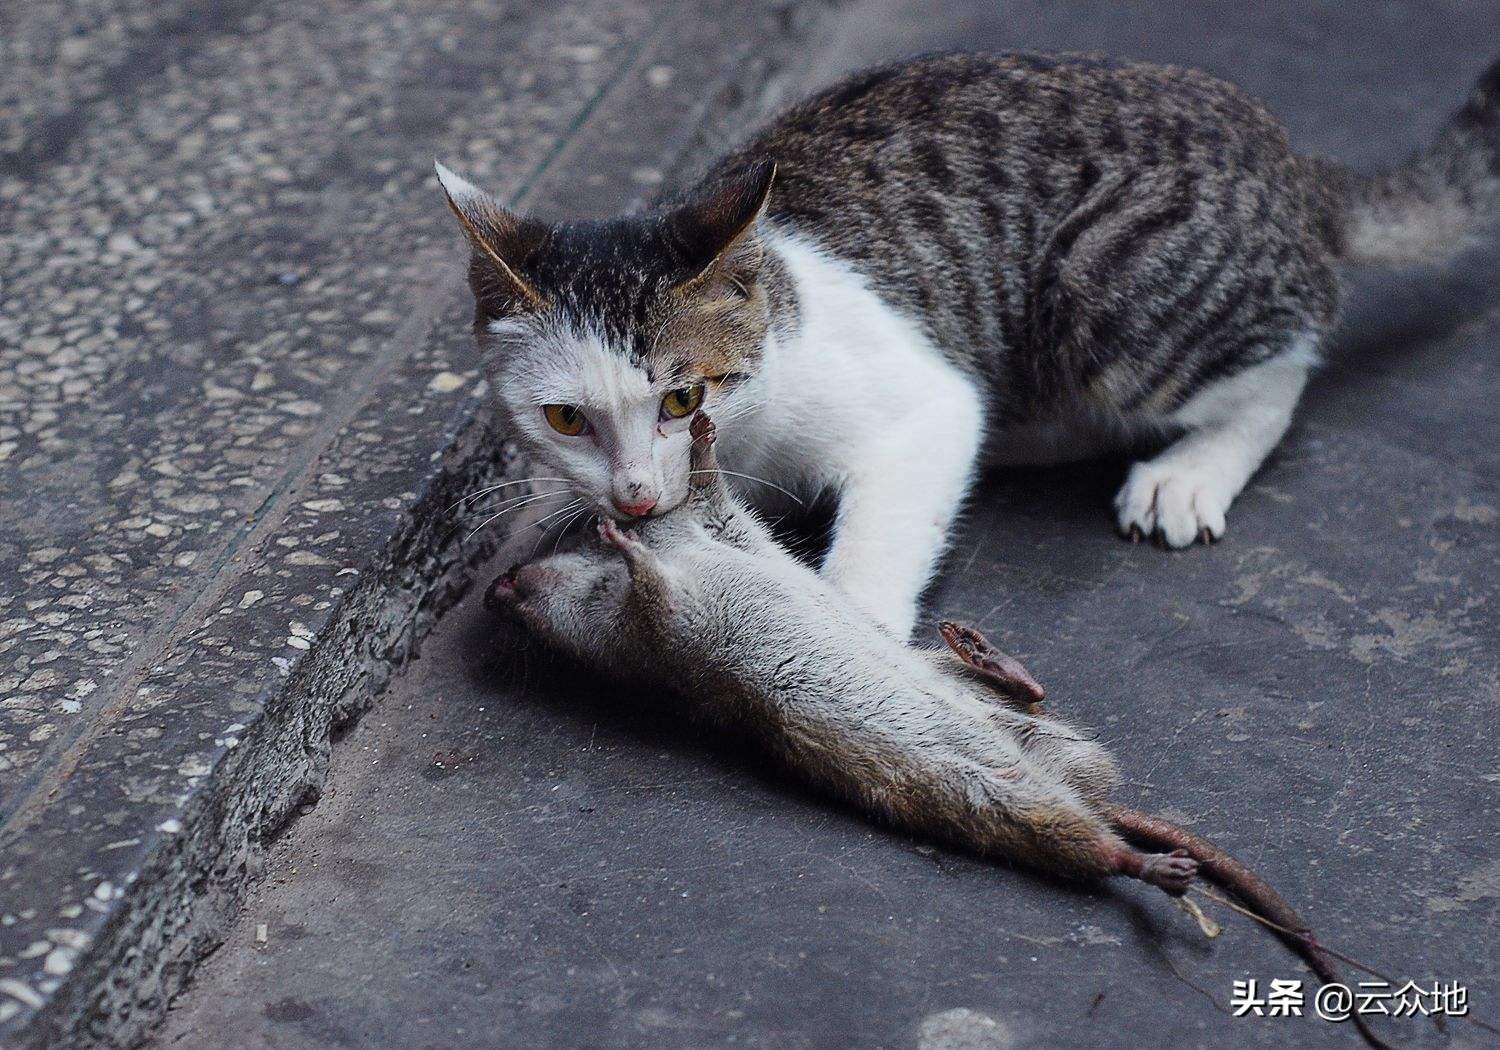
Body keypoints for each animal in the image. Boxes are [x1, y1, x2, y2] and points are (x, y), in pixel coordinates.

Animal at [438, 51, 1500, 639]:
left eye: (682, 398)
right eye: (565, 419)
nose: (633, 495)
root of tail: (1288, 160)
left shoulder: (919, 399)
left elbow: (922, 455)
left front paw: (851, 624)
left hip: (1103, 290)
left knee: (1284, 360)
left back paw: (1189, 468)